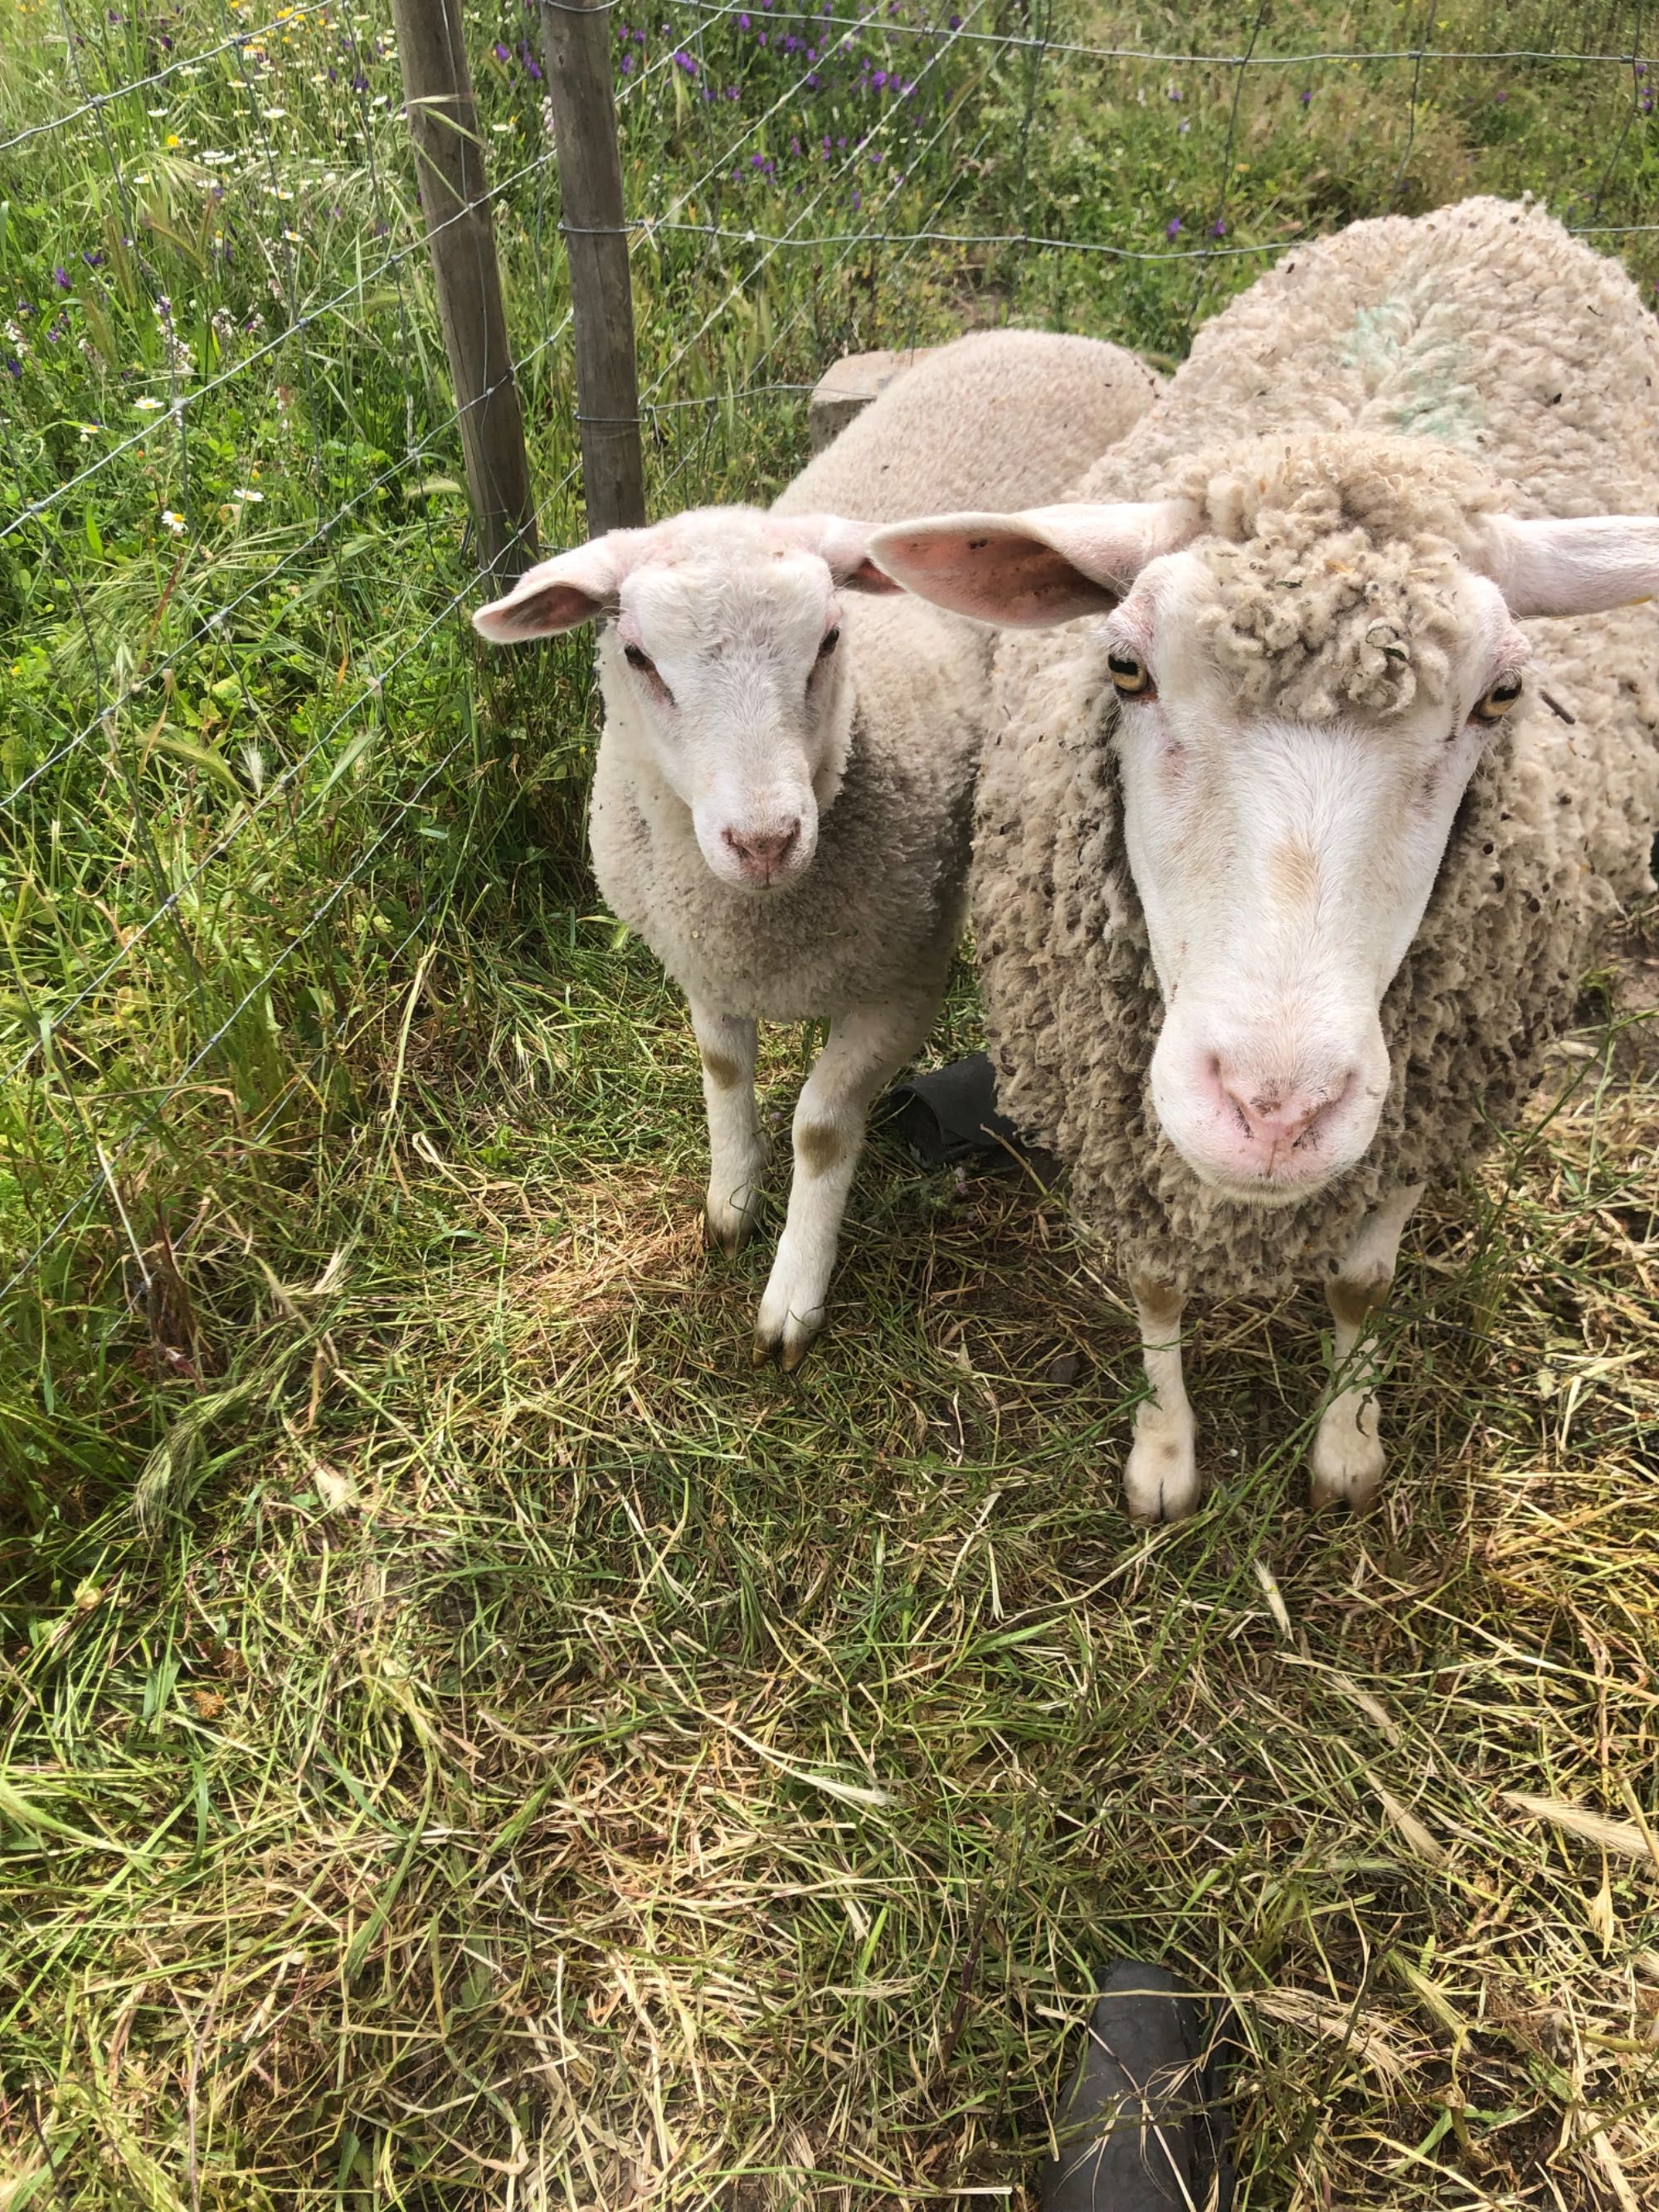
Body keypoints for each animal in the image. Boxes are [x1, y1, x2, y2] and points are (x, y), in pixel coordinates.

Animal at [473, 327, 1159, 1362]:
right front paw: (730, 1203)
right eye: (637, 657)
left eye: (830, 637)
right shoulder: (699, 959)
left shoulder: (902, 983)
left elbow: (822, 1131)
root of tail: (1065, 338)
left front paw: (793, 1292)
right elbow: (723, 1071)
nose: (762, 839)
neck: (760, 923)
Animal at [871, 199, 1659, 1521]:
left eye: (1500, 696)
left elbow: (1358, 1284)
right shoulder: (1125, 1118)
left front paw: (1346, 1444)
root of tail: (1495, 213)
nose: (1272, 1109)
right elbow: (1153, 1282)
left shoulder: (1416, 1108)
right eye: (1124, 667)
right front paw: (1163, 1461)